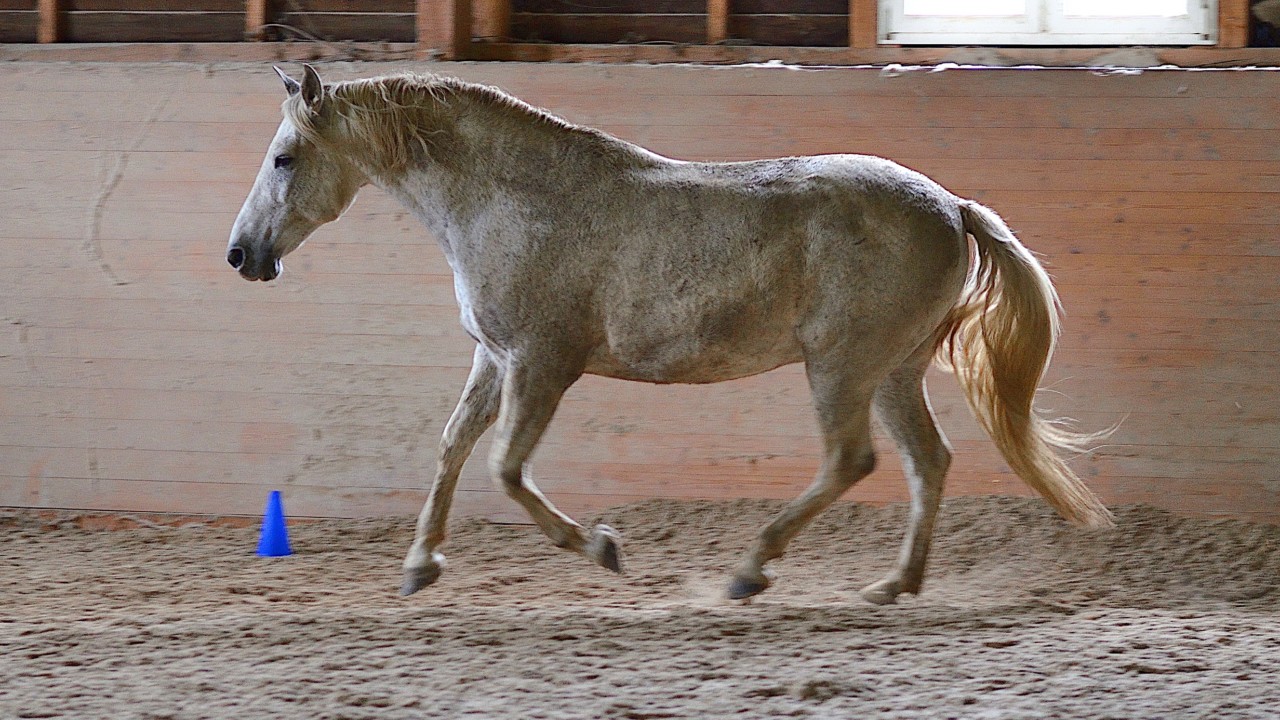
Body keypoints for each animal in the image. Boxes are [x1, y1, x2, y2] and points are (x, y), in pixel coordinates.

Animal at [228, 65, 1113, 605]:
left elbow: (505, 468)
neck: (516, 199)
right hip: (893, 371)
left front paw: (600, 547)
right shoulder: (496, 357)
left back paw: (751, 571)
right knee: (927, 463)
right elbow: (452, 447)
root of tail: (951, 207)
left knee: (853, 460)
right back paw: (893, 586)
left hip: (843, 366)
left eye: (284, 158)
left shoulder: (543, 364)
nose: (242, 255)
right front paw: (419, 566)